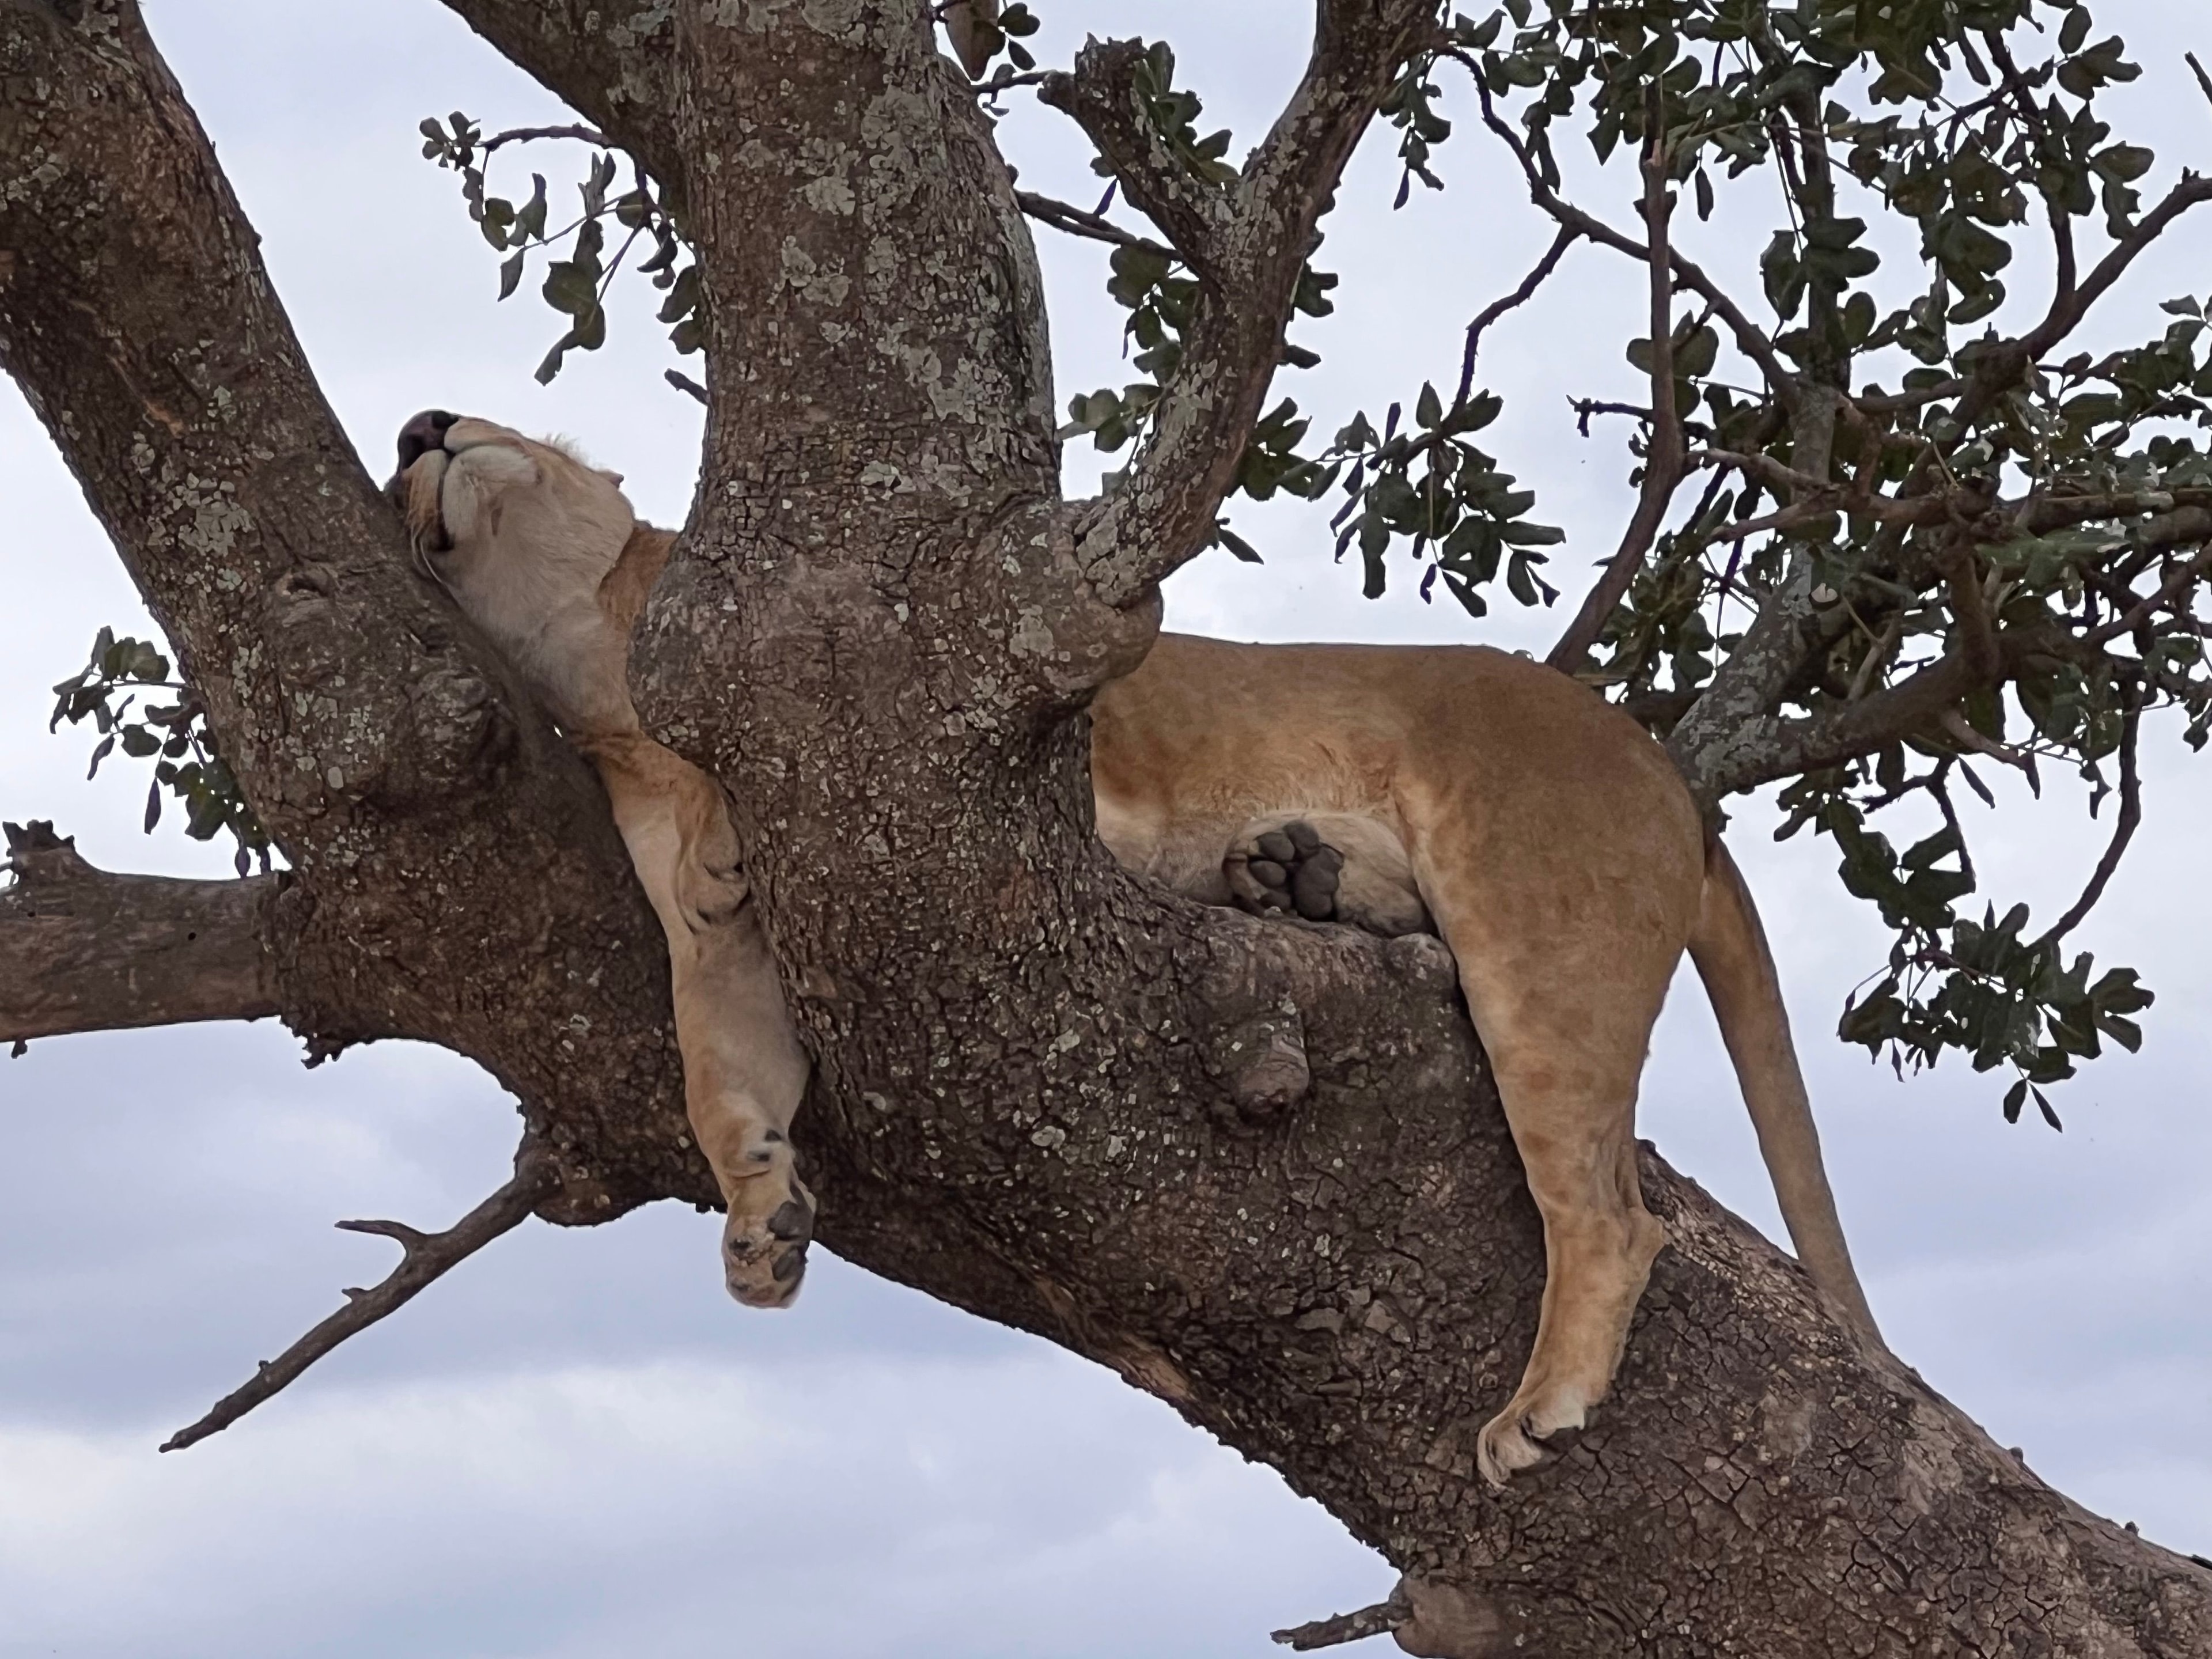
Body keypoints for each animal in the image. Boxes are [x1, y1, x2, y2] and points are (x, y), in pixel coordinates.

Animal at [389, 410, 1881, 1487]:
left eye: (489, 416)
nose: (418, 426)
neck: (600, 672)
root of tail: (1664, 775)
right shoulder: (721, 948)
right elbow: (719, 1076)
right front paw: (761, 1225)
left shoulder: (1024, 737)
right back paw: (1294, 875)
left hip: (1534, 925)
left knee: (1611, 1216)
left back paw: (1541, 1406)